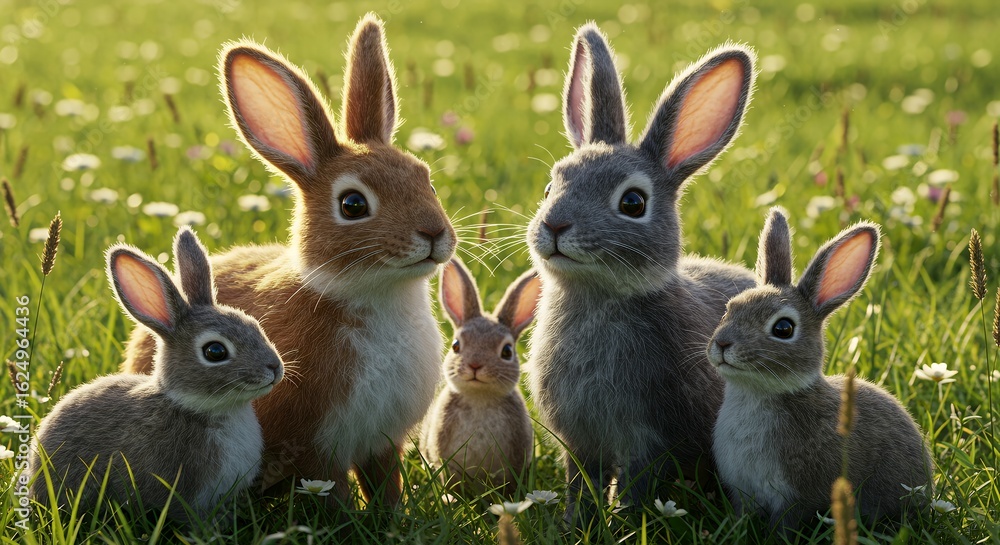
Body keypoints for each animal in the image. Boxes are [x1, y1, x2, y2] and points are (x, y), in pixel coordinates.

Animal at [120, 14, 455, 509]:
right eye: (353, 204)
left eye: (426, 180)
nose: (434, 234)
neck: (372, 293)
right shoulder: (315, 446)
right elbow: (332, 490)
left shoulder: (381, 443)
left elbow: (385, 482)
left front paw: (391, 515)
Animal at [526, 23, 759, 521]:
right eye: (552, 186)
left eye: (633, 203)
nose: (554, 225)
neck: (597, 297)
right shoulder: (580, 442)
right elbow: (581, 482)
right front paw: (576, 523)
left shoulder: (650, 441)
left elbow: (637, 484)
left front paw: (626, 522)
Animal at [708, 208, 934, 533]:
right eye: (729, 308)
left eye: (784, 328)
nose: (723, 343)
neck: (758, 393)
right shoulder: (743, 492)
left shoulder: (795, 497)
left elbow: (785, 524)